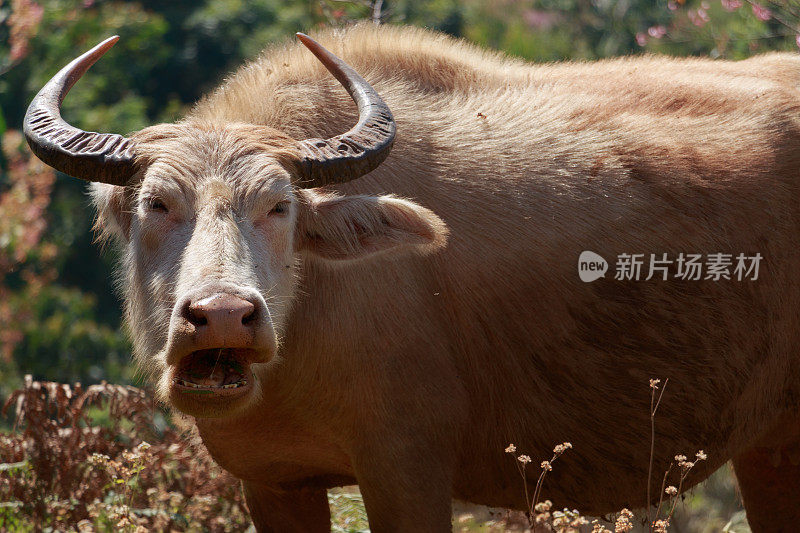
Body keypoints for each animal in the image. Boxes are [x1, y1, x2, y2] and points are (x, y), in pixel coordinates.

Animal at [25, 23, 800, 528]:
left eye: (279, 205)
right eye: (156, 204)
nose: (221, 315)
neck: (311, 319)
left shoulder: (408, 468)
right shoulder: (274, 481)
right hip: (770, 447)